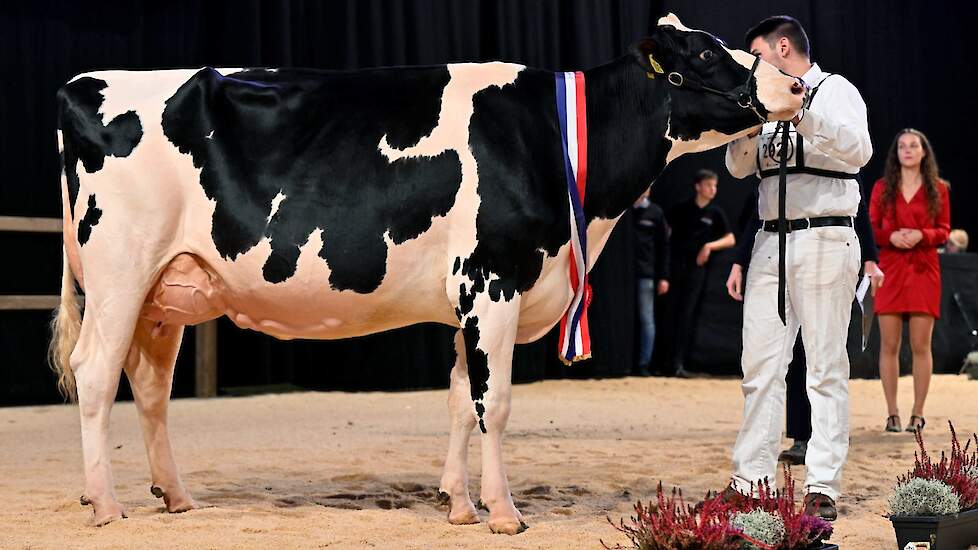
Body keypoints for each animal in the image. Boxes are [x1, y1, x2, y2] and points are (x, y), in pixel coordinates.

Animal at [49, 15, 796, 536]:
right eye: (705, 54)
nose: (794, 84)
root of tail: (82, 84)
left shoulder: (468, 300)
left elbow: (461, 402)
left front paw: (460, 505)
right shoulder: (493, 281)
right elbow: (494, 404)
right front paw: (504, 512)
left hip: (166, 290)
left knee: (148, 386)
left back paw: (175, 497)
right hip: (121, 272)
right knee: (95, 373)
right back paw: (105, 504)